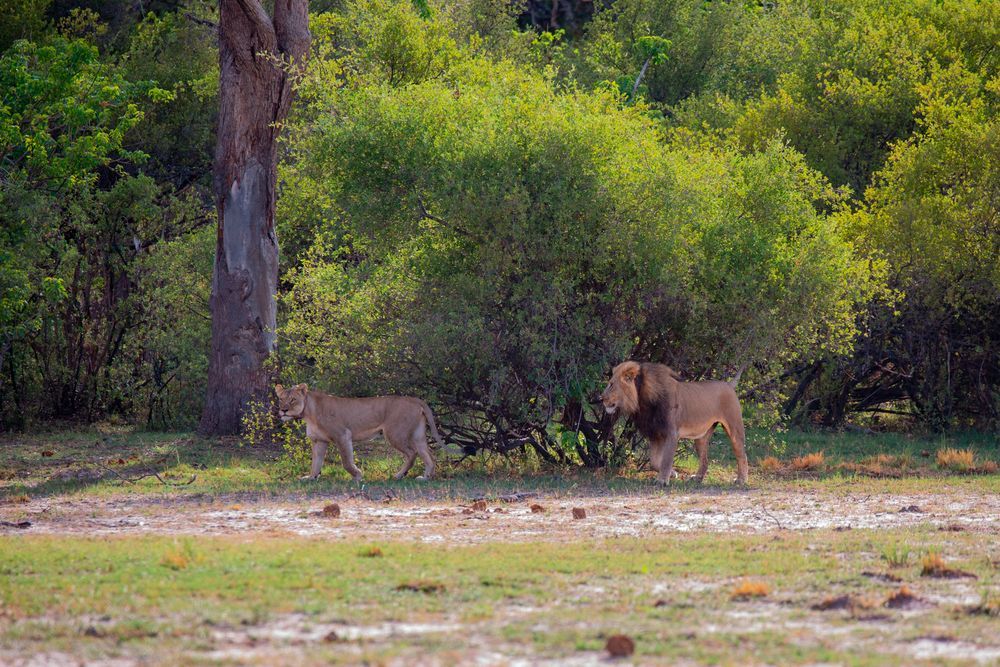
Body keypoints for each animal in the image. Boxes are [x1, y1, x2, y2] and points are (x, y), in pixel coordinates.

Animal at [274, 384, 443, 481]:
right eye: (281, 399)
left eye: (293, 399)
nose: (283, 410)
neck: (309, 413)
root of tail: (415, 399)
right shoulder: (319, 441)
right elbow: (316, 461)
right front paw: (311, 477)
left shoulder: (343, 435)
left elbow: (346, 461)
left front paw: (358, 476)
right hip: (418, 435)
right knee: (429, 456)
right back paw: (425, 477)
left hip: (394, 434)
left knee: (412, 453)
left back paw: (399, 475)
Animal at [600, 361, 748, 485]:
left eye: (611, 384)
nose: (601, 398)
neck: (642, 400)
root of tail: (728, 384)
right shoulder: (655, 435)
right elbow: (655, 462)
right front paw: (672, 473)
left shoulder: (671, 433)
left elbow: (666, 459)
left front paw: (662, 480)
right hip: (700, 437)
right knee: (705, 460)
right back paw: (697, 478)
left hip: (734, 429)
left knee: (742, 455)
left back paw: (741, 480)